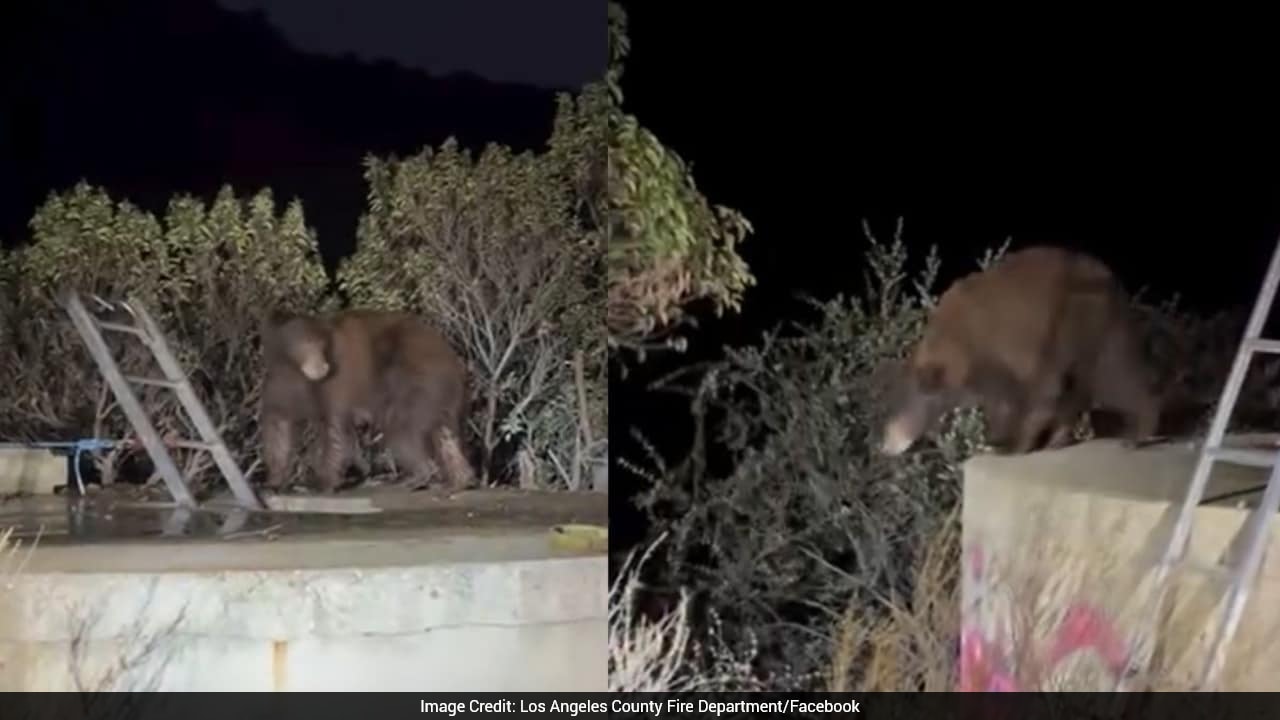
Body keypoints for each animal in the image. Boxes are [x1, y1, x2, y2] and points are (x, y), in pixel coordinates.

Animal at [259, 308, 477, 493]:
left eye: (321, 345)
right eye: (306, 344)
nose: (322, 367)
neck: (296, 370)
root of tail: (456, 364)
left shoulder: (336, 382)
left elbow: (335, 429)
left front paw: (322, 483)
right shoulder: (281, 381)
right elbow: (278, 424)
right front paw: (274, 481)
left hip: (419, 383)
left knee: (401, 428)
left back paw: (418, 476)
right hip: (440, 396)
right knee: (444, 435)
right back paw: (458, 480)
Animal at [878, 246, 1161, 457]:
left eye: (897, 409)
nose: (885, 446)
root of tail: (1113, 282)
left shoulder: (1015, 347)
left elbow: (1037, 397)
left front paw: (1013, 443)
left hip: (1083, 319)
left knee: (1112, 375)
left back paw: (1139, 431)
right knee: (1088, 383)